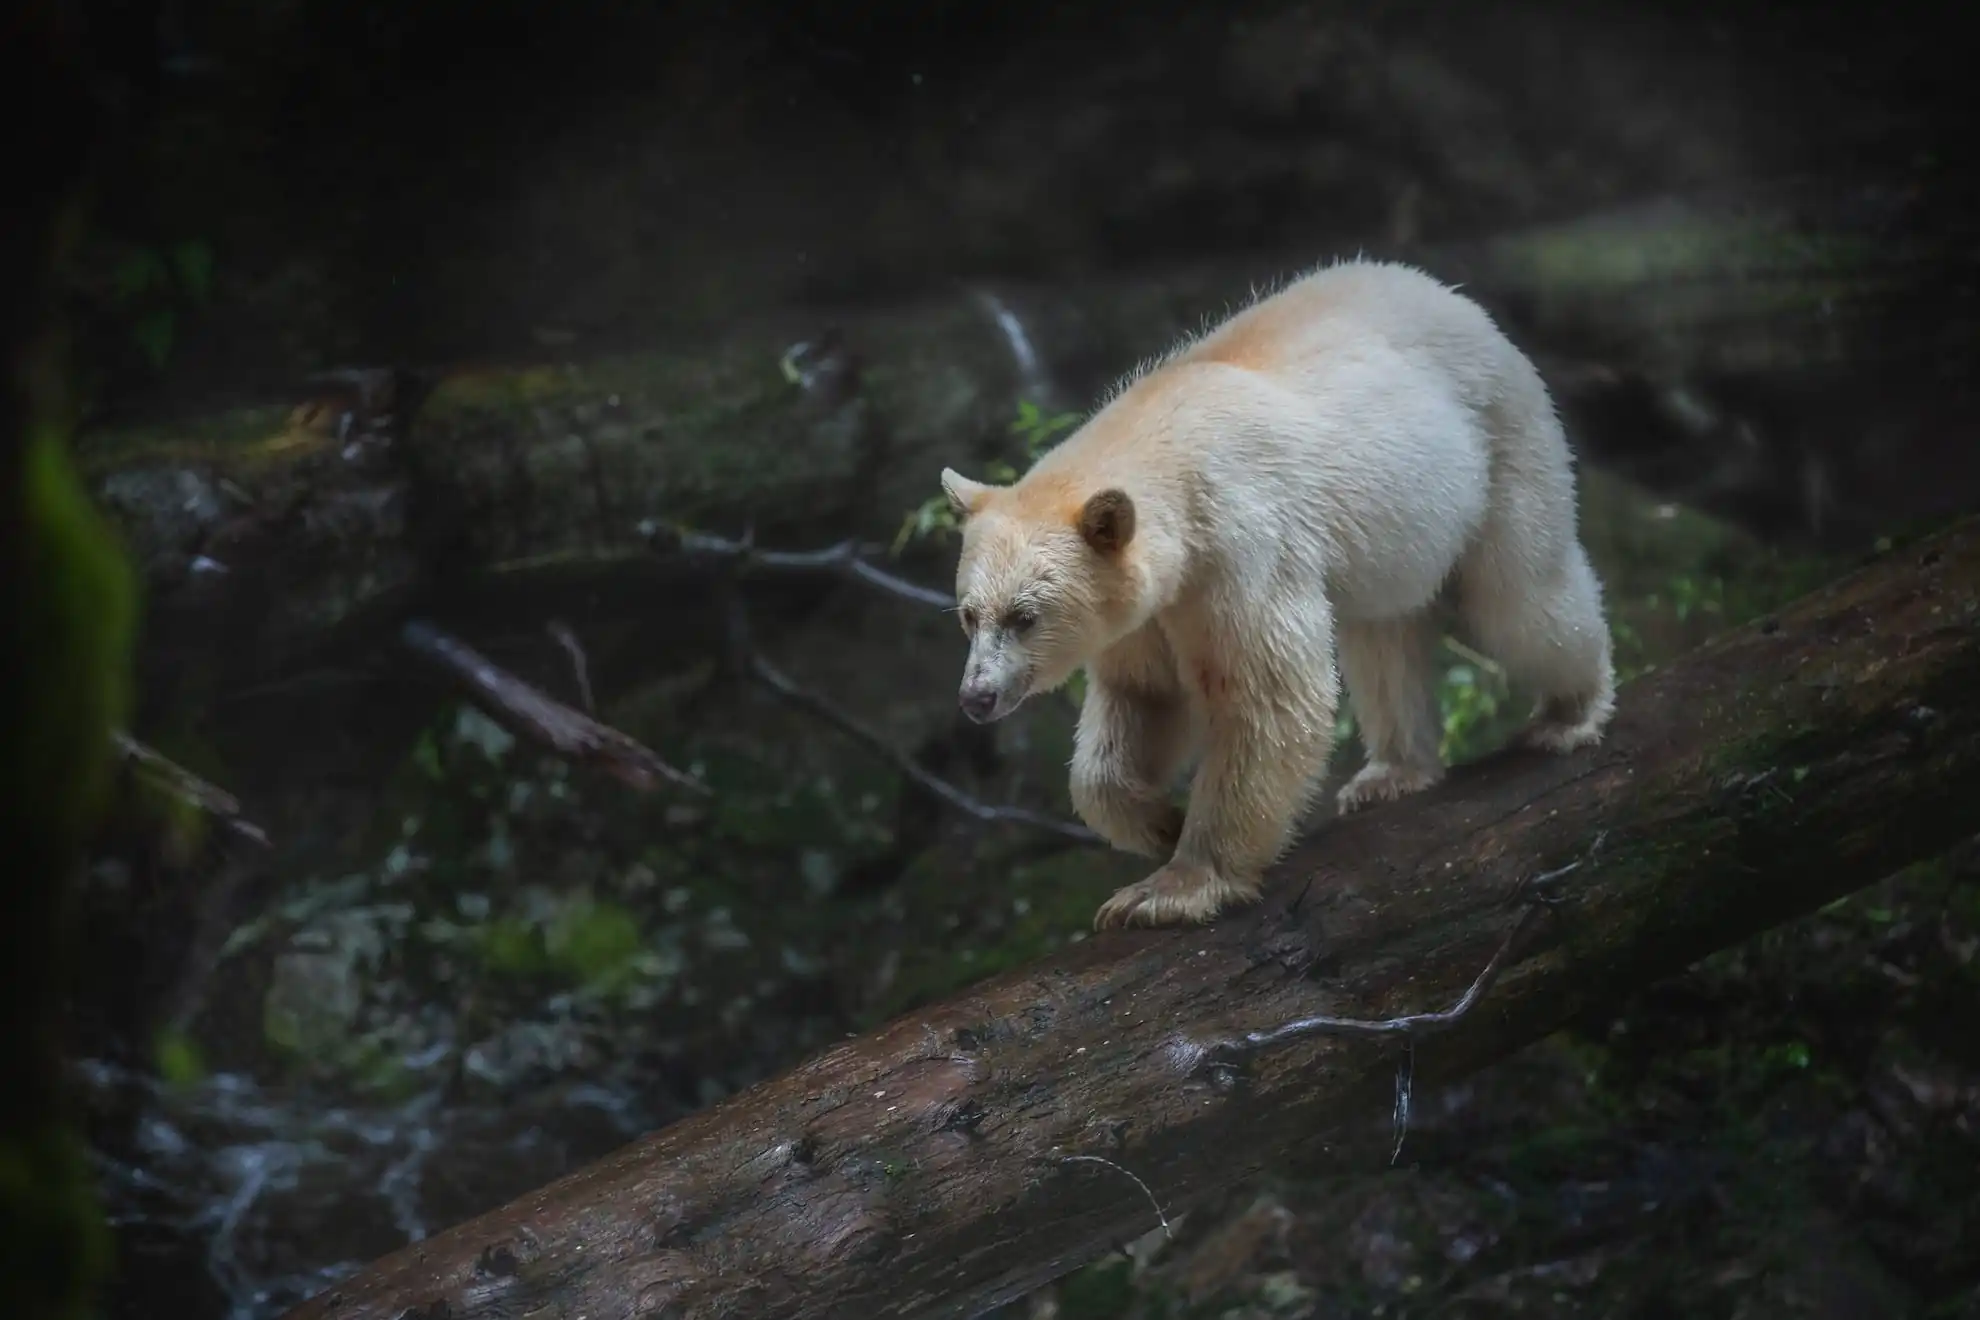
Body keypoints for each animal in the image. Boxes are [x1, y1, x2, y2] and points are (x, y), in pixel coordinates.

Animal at [938, 257, 1615, 930]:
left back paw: (1569, 714)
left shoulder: (1240, 544)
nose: (976, 696)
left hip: (1499, 441)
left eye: (1025, 616)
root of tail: (1448, 294)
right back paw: (1393, 772)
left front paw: (1173, 887)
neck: (1166, 441)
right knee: (1383, 638)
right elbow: (1145, 697)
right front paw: (1159, 824)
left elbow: (1265, 693)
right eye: (968, 616)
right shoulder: (1150, 608)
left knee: (1517, 600)